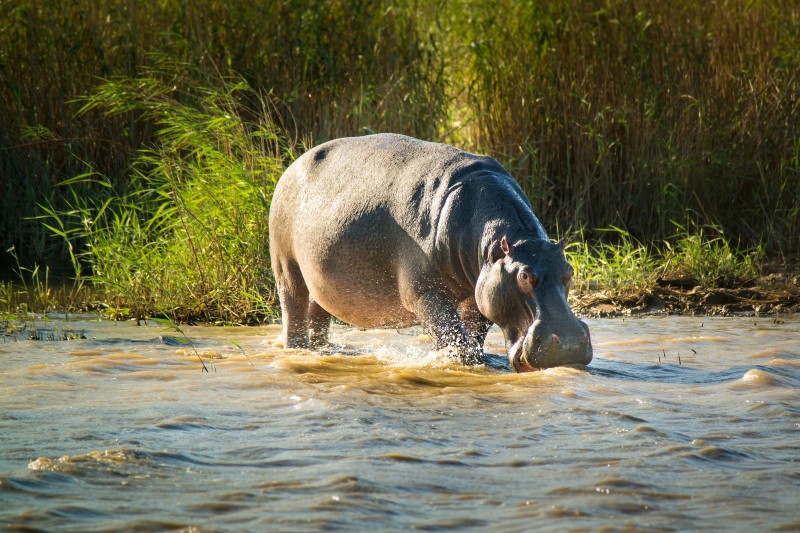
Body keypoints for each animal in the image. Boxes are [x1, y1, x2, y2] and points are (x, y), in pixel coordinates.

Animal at [268, 134, 592, 371]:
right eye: (523, 276)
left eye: (569, 271)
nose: (570, 344)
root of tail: (294, 163)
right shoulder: (426, 292)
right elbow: (453, 335)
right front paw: (455, 361)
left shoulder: (479, 293)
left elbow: (472, 333)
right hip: (286, 266)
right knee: (293, 309)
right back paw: (296, 349)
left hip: (323, 279)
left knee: (318, 311)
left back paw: (325, 350)